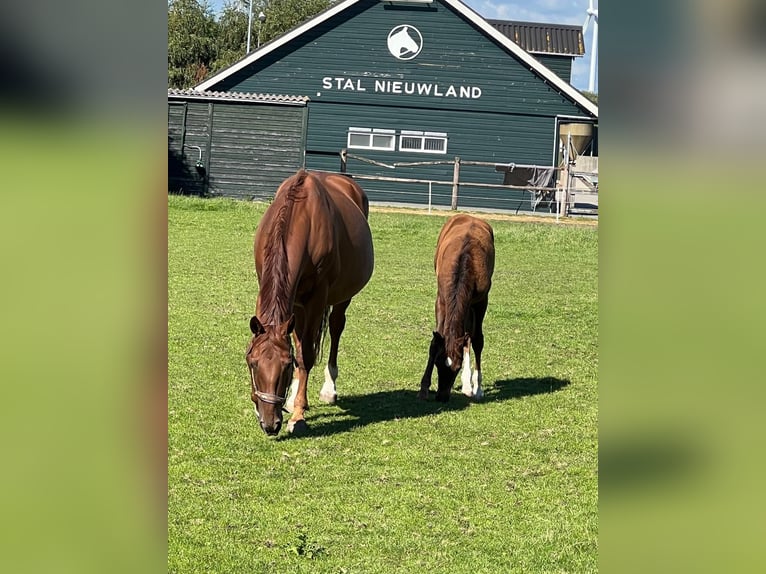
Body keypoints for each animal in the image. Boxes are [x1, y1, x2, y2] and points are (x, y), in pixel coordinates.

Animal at [246, 171, 376, 436]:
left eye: (286, 366)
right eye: (253, 363)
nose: (270, 424)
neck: (300, 216)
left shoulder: (317, 298)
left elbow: (306, 354)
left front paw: (298, 416)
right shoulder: (277, 292)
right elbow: (298, 347)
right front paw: (293, 400)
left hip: (341, 296)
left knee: (335, 327)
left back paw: (328, 388)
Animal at [420, 216, 498, 404]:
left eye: (456, 367)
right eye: (437, 363)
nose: (441, 397)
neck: (465, 262)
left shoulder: (481, 302)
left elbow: (477, 340)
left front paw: (477, 389)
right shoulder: (441, 300)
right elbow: (435, 341)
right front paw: (424, 388)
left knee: (468, 336)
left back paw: (469, 385)